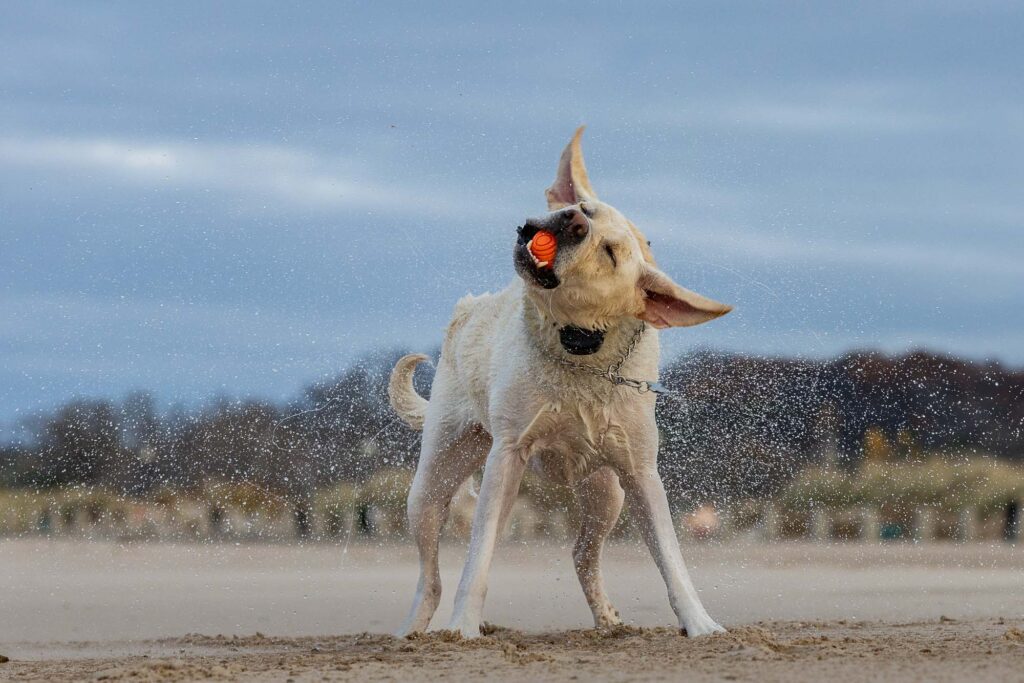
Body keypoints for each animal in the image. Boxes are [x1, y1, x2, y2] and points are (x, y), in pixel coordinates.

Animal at [387, 129, 733, 643]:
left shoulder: (641, 473)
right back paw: (413, 629)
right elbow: (477, 561)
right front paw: (465, 627)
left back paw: (609, 621)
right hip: (434, 483)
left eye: (610, 254)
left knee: (582, 556)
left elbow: (671, 559)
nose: (572, 220)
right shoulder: (507, 454)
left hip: (606, 493)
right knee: (433, 574)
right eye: (584, 210)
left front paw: (701, 623)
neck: (578, 349)